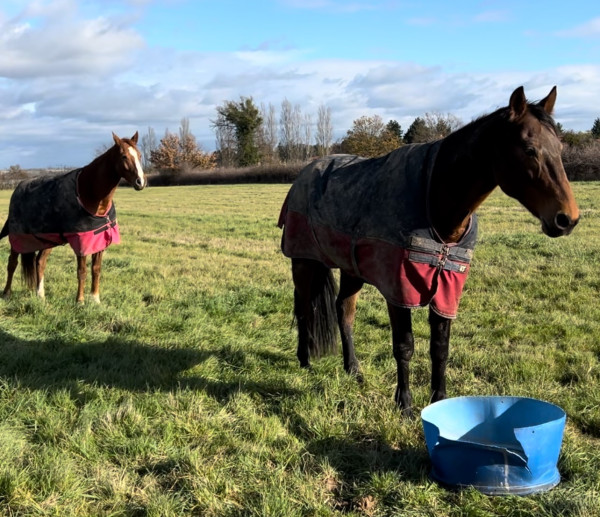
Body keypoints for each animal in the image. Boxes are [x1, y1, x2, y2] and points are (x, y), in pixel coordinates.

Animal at [0, 132, 146, 302]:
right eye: (124, 156)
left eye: (140, 155)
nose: (140, 182)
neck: (88, 193)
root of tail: (17, 189)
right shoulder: (81, 242)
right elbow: (82, 271)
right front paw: (80, 301)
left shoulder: (98, 240)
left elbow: (96, 269)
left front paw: (95, 299)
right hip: (17, 237)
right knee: (12, 263)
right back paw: (7, 293)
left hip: (47, 239)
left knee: (40, 262)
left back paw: (40, 295)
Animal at [278, 85, 580, 416]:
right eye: (528, 149)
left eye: (560, 148)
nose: (567, 219)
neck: (434, 199)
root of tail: (307, 170)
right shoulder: (399, 291)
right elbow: (405, 346)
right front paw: (405, 405)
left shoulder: (447, 287)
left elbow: (440, 348)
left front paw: (438, 400)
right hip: (303, 261)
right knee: (304, 308)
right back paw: (305, 361)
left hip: (350, 269)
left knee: (343, 312)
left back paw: (354, 369)